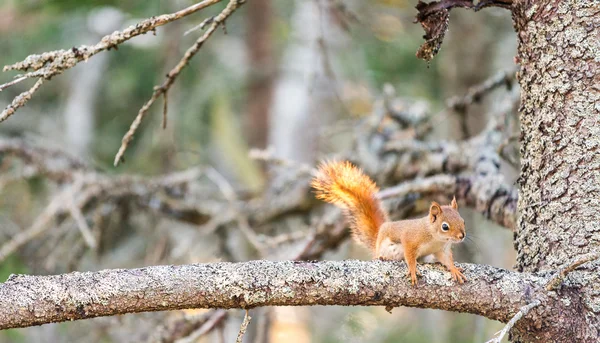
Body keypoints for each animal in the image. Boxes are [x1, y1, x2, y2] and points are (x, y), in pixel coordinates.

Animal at [312, 163, 466, 286]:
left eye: (463, 221)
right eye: (445, 226)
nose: (462, 236)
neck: (435, 238)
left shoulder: (441, 250)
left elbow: (447, 260)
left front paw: (454, 269)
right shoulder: (410, 238)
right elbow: (410, 256)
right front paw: (412, 269)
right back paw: (382, 257)